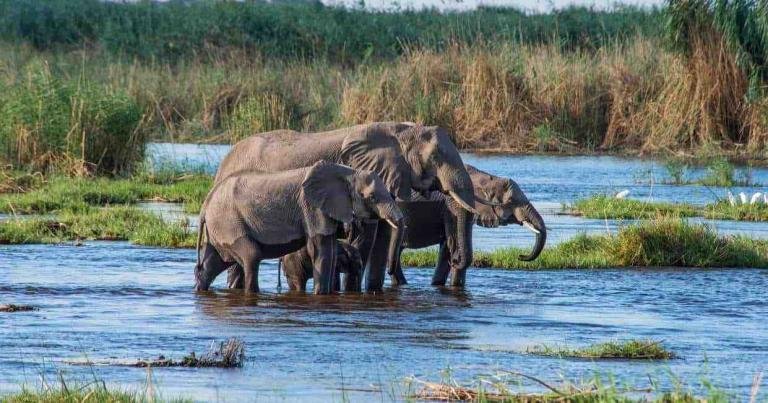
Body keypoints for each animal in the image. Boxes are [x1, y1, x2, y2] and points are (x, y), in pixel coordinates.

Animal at [194, 161, 404, 294]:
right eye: (371, 197)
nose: (391, 272)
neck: (348, 172)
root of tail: (205, 205)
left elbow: (331, 250)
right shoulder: (312, 207)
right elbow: (322, 251)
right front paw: (321, 295)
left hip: (221, 227)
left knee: (215, 262)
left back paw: (199, 288)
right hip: (229, 222)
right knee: (251, 256)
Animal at [212, 122, 497, 291]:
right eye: (436, 157)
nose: (455, 257)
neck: (400, 130)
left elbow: (382, 237)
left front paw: (372, 291)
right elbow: (365, 238)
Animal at [392, 164, 546, 287]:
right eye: (511, 201)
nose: (520, 256)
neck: (484, 177)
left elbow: (448, 247)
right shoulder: (451, 207)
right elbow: (453, 243)